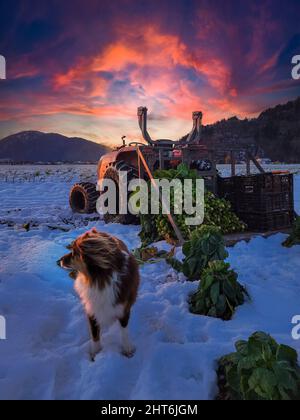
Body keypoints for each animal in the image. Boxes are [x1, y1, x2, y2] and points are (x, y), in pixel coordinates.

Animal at [58, 228, 141, 360]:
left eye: (74, 253)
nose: (58, 261)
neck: (100, 279)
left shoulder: (123, 309)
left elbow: (124, 330)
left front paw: (127, 348)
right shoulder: (92, 309)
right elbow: (94, 334)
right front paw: (95, 353)